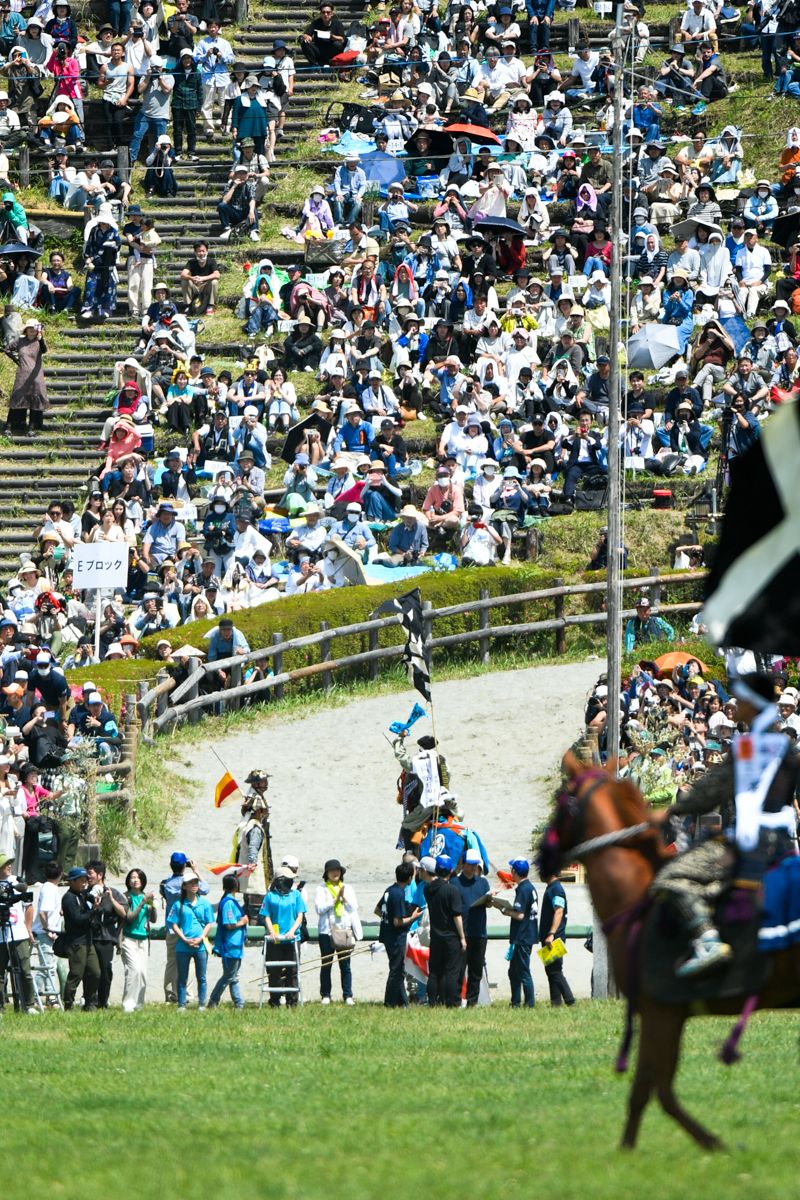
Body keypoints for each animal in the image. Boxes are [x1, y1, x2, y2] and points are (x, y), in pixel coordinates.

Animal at [546, 748, 800, 1152]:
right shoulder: (667, 1016)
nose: (540, 857)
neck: (636, 893)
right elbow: (654, 1088)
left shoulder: (659, 1013)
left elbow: (650, 1091)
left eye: (562, 800)